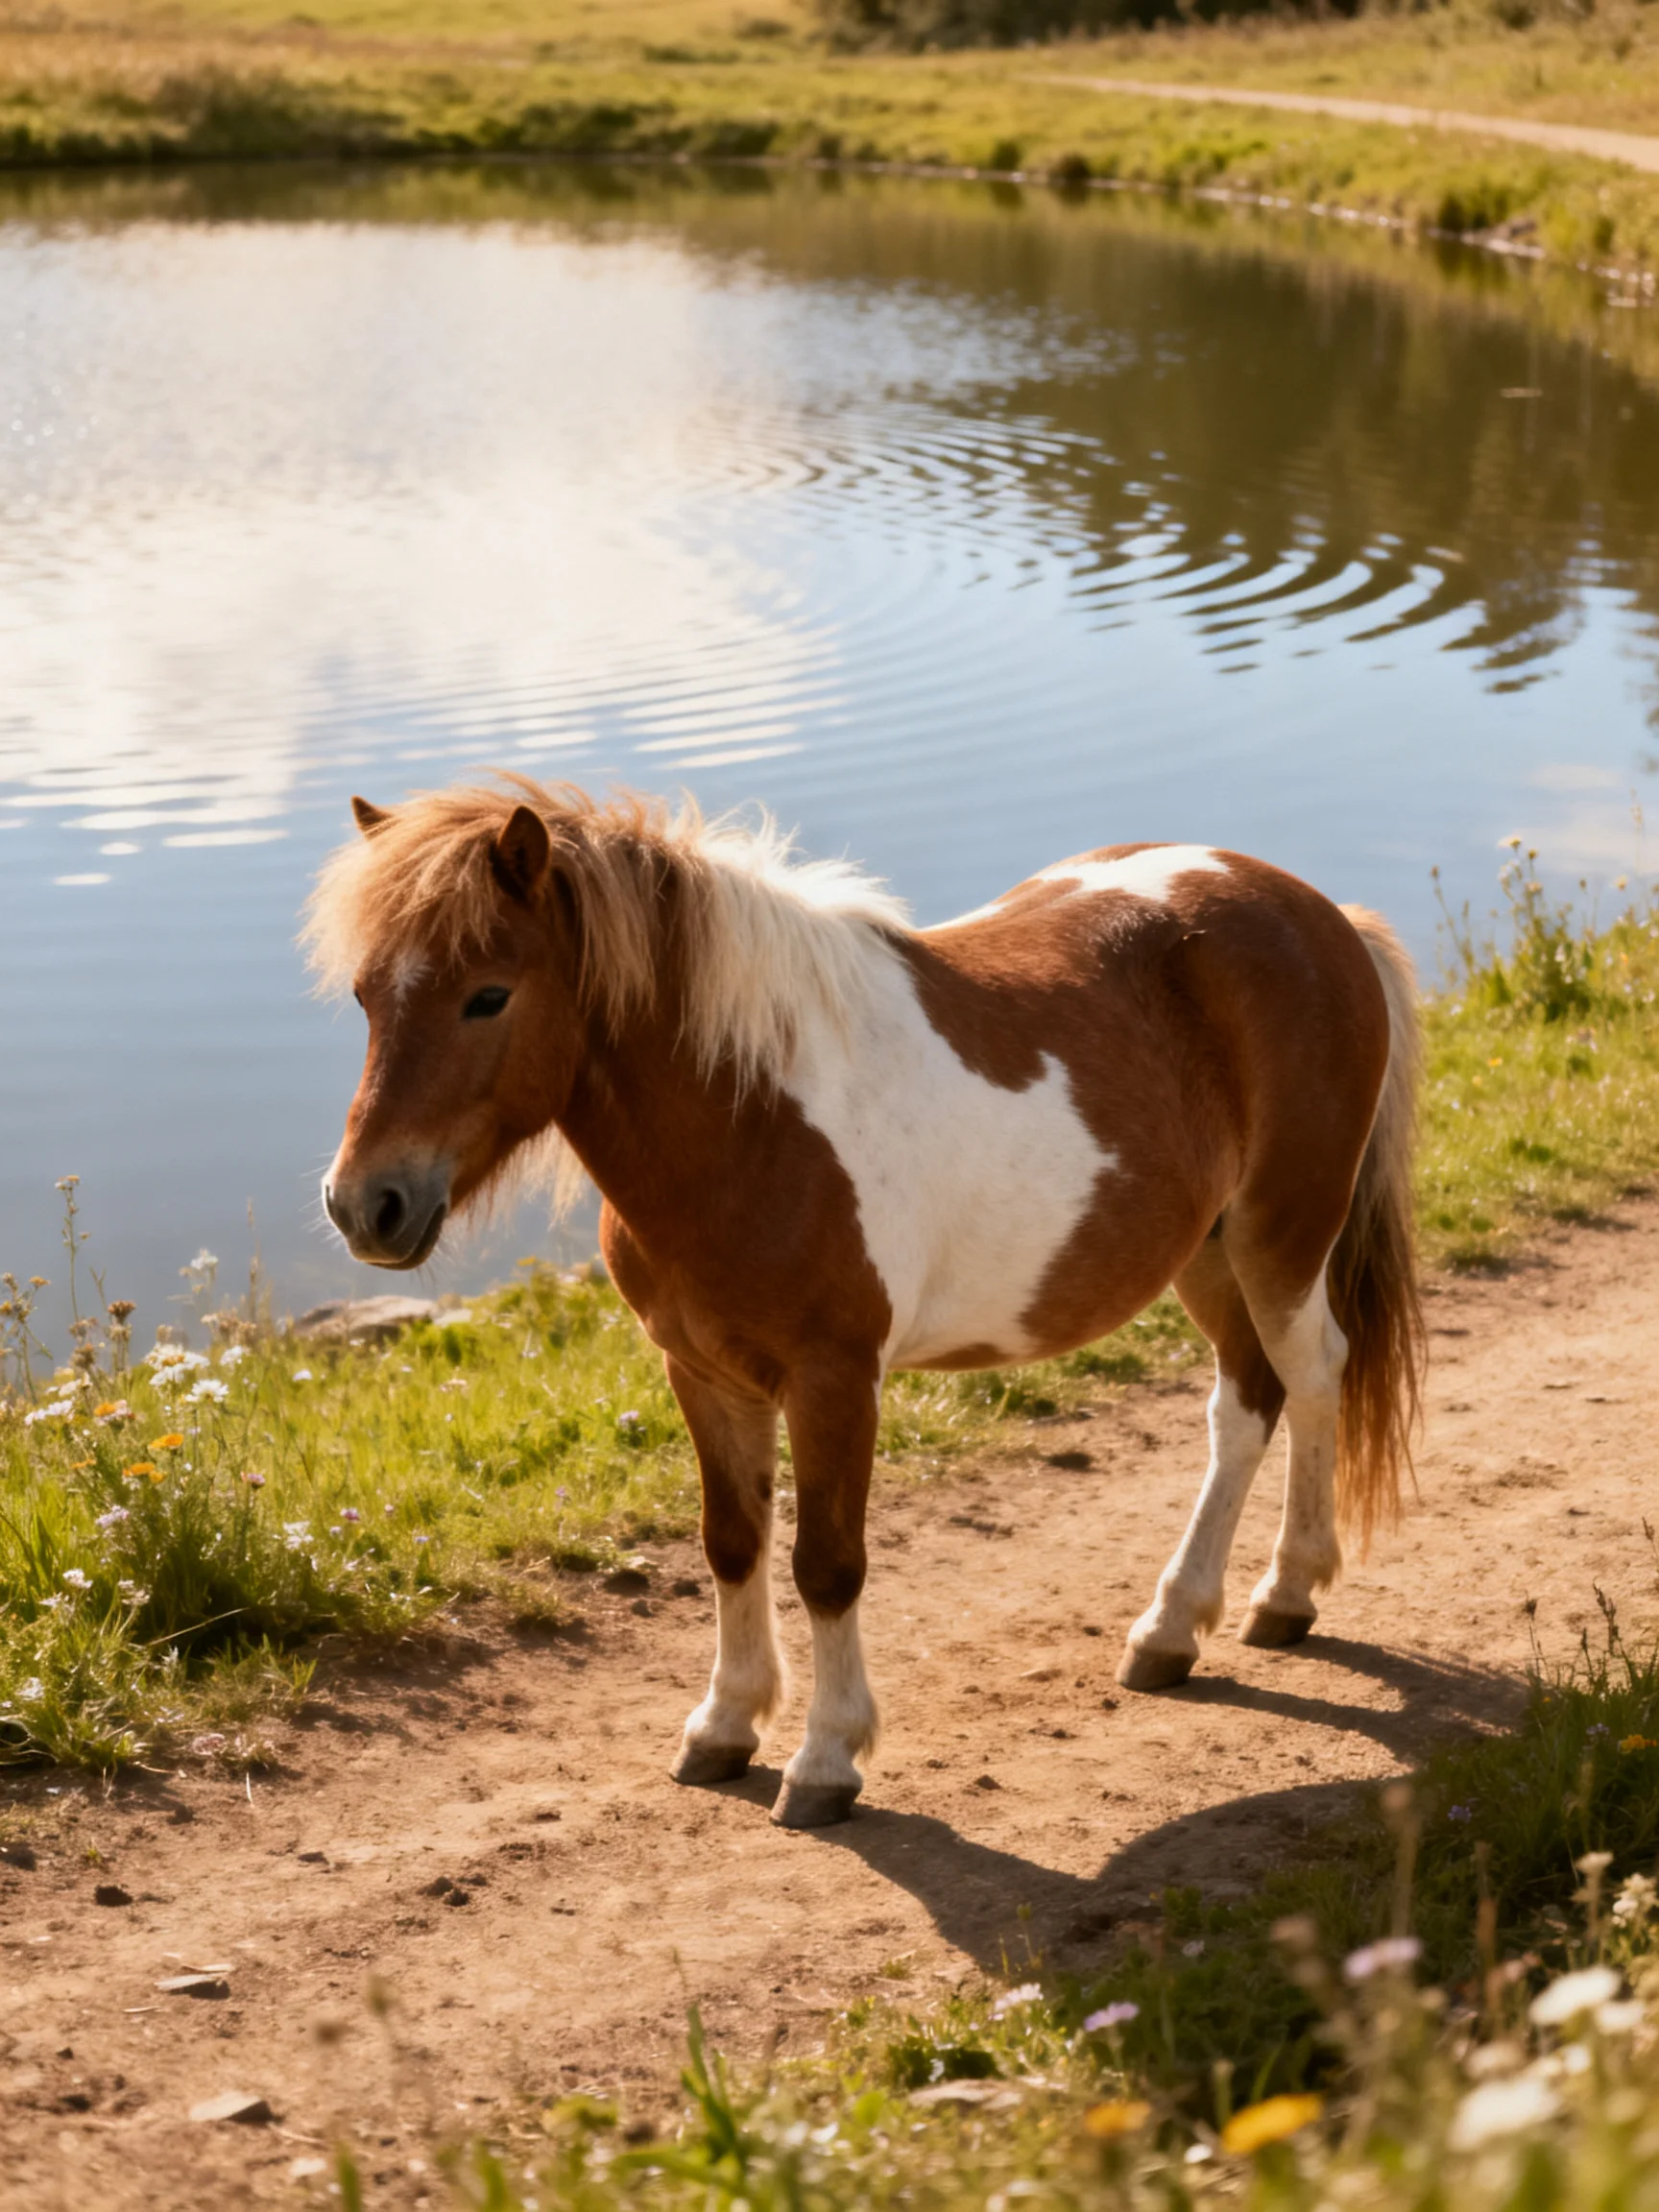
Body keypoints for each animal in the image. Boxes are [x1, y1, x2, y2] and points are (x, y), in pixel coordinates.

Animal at [307, 777, 1424, 1830]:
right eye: (364, 996)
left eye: (488, 996)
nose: (366, 1206)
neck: (749, 1117)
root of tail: (1317, 912)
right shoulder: (701, 1371)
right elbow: (732, 1543)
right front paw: (725, 1725)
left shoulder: (834, 1378)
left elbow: (827, 1565)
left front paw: (825, 1760)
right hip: (1206, 1250)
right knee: (1244, 1403)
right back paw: (1172, 1628)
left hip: (1281, 1235)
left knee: (1310, 1375)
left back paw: (1284, 1594)